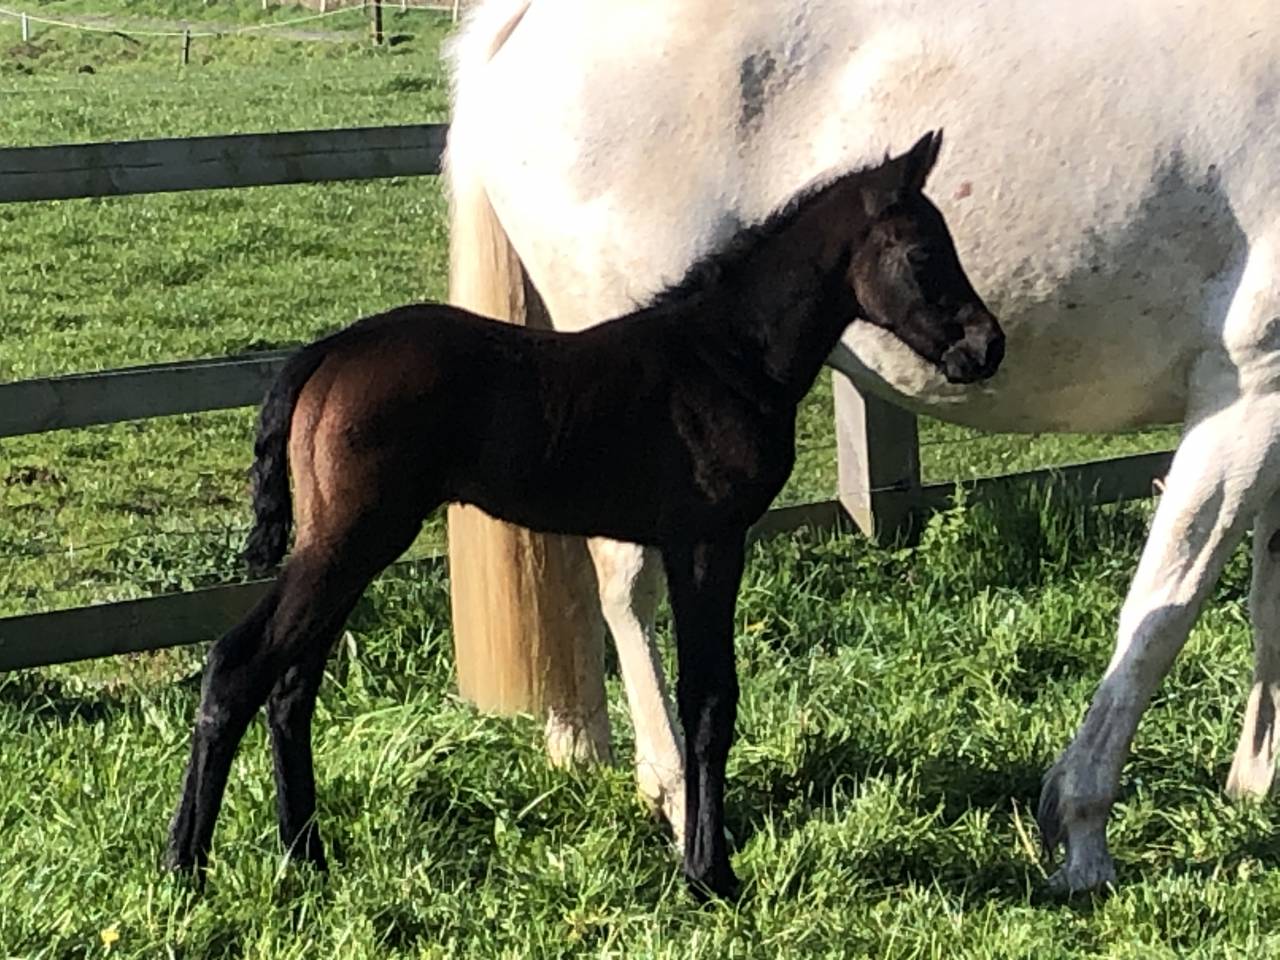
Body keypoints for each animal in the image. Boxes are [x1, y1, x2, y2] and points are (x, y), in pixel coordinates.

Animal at [163, 134, 1002, 897]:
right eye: (922, 253)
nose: (985, 346)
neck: (725, 358)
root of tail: (327, 353)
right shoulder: (707, 541)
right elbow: (708, 699)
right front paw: (710, 874)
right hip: (350, 540)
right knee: (238, 666)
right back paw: (186, 867)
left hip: (352, 547)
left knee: (290, 685)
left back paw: (306, 857)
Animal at [445, 0, 1280, 894]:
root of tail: (524, 26)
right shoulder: (1246, 398)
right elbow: (1163, 612)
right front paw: (1081, 837)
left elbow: (1263, 607)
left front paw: (1256, 786)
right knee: (624, 586)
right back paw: (673, 797)